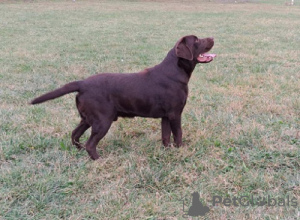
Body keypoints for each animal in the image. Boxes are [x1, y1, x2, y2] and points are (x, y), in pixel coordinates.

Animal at [31, 35, 216, 160]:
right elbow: (178, 135)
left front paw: (167, 152)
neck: (175, 71)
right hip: (102, 120)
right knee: (90, 144)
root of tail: (82, 83)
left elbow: (165, 137)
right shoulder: (175, 114)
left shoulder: (165, 116)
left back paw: (79, 150)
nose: (213, 37)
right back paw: (99, 160)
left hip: (87, 118)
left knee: (75, 134)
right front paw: (180, 151)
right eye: (197, 41)